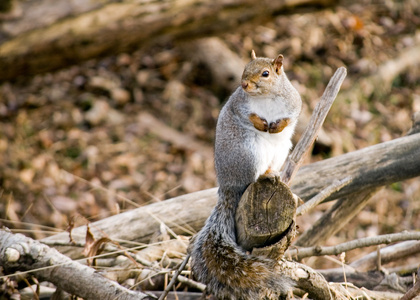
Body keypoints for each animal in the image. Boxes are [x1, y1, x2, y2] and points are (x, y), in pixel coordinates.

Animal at [189, 50, 302, 298]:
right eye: (245, 67)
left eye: (266, 73)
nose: (243, 84)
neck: (267, 97)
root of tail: (227, 184)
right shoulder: (238, 104)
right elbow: (244, 114)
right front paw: (260, 123)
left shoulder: (294, 102)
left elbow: (291, 116)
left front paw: (277, 125)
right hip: (250, 154)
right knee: (252, 178)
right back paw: (265, 176)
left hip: (280, 150)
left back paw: (277, 177)